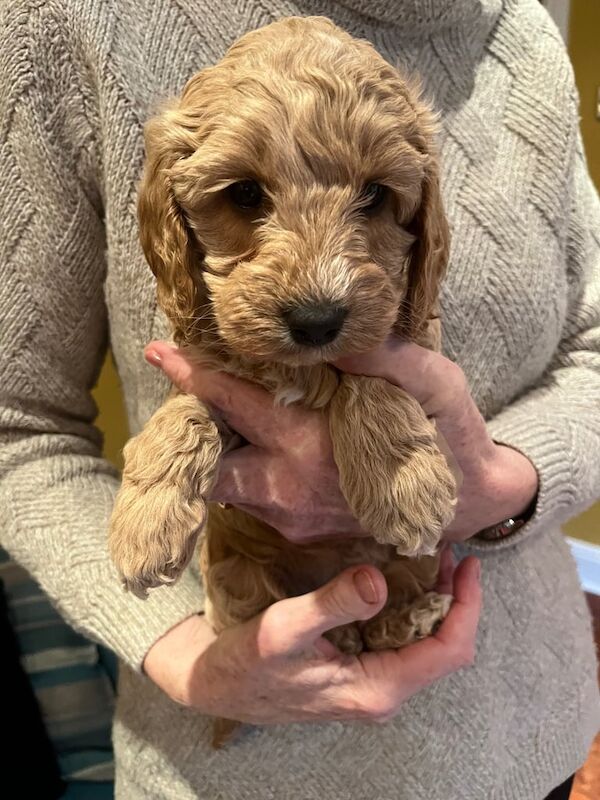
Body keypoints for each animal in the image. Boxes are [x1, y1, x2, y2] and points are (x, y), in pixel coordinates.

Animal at [108, 14, 458, 744]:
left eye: (375, 195)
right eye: (244, 193)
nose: (317, 319)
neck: (303, 369)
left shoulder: (415, 333)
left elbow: (371, 372)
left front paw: (402, 482)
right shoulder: (210, 363)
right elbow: (186, 407)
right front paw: (146, 517)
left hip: (410, 564)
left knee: (402, 592)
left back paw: (408, 618)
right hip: (240, 574)